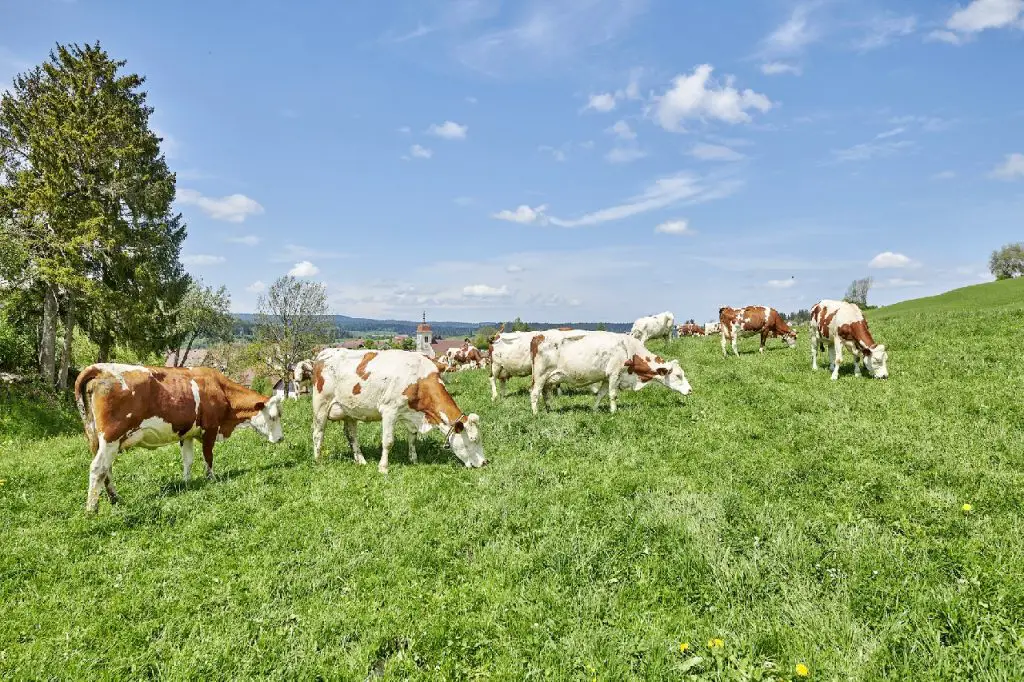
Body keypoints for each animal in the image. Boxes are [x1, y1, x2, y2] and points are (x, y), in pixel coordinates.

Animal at [74, 360, 284, 509]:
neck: (220, 388)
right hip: (111, 438)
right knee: (98, 469)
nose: (281, 438)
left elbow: (188, 460)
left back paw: (114, 499)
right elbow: (208, 457)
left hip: (100, 440)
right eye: (273, 417)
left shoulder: (187, 433)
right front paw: (211, 479)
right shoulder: (210, 429)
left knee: (106, 470)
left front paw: (187, 482)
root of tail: (100, 368)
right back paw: (92, 509)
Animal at [311, 348, 487, 471]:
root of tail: (324, 353)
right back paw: (318, 461)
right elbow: (388, 441)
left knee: (351, 435)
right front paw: (383, 468)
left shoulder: (411, 414)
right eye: (473, 440)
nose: (485, 462)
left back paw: (361, 460)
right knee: (318, 433)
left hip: (349, 411)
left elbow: (412, 437)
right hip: (321, 405)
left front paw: (414, 460)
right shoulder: (389, 410)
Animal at [532, 327, 692, 411]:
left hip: (550, 378)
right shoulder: (614, 374)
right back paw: (536, 414)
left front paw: (594, 410)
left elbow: (600, 394)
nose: (690, 390)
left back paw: (550, 410)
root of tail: (539, 335)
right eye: (678, 375)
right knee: (534, 393)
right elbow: (613, 395)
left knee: (546, 394)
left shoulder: (605, 377)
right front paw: (614, 411)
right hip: (540, 376)